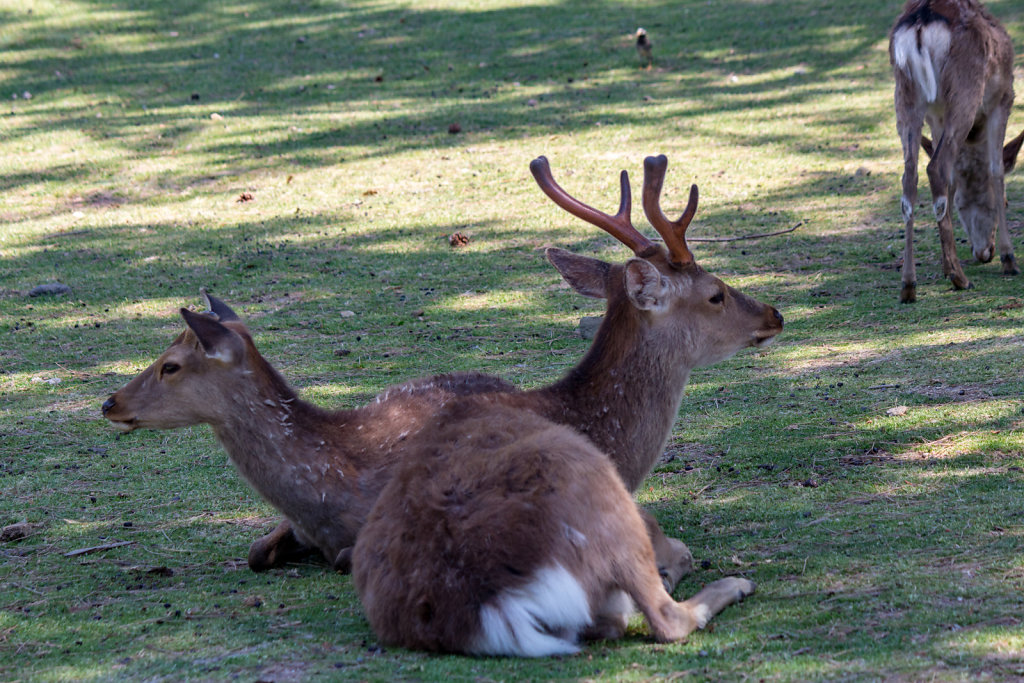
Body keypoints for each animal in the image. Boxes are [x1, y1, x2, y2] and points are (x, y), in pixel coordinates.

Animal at [888, 0, 1024, 301]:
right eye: (1004, 203)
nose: (984, 253)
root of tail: (920, 24)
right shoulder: (1003, 97)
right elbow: (996, 171)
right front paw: (1009, 259)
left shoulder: (936, 115)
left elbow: (951, 182)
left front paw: (943, 263)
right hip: (965, 88)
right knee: (936, 167)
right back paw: (959, 278)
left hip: (906, 94)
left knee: (911, 176)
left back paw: (908, 285)